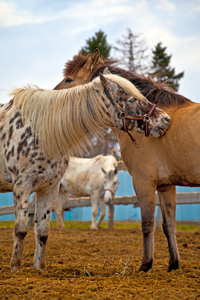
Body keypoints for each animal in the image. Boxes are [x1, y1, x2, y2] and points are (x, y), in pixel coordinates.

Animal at [54, 48, 199, 274]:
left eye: (69, 79)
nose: (54, 95)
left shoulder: (143, 182)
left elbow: (147, 224)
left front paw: (146, 265)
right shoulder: (166, 186)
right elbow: (169, 226)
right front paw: (173, 264)